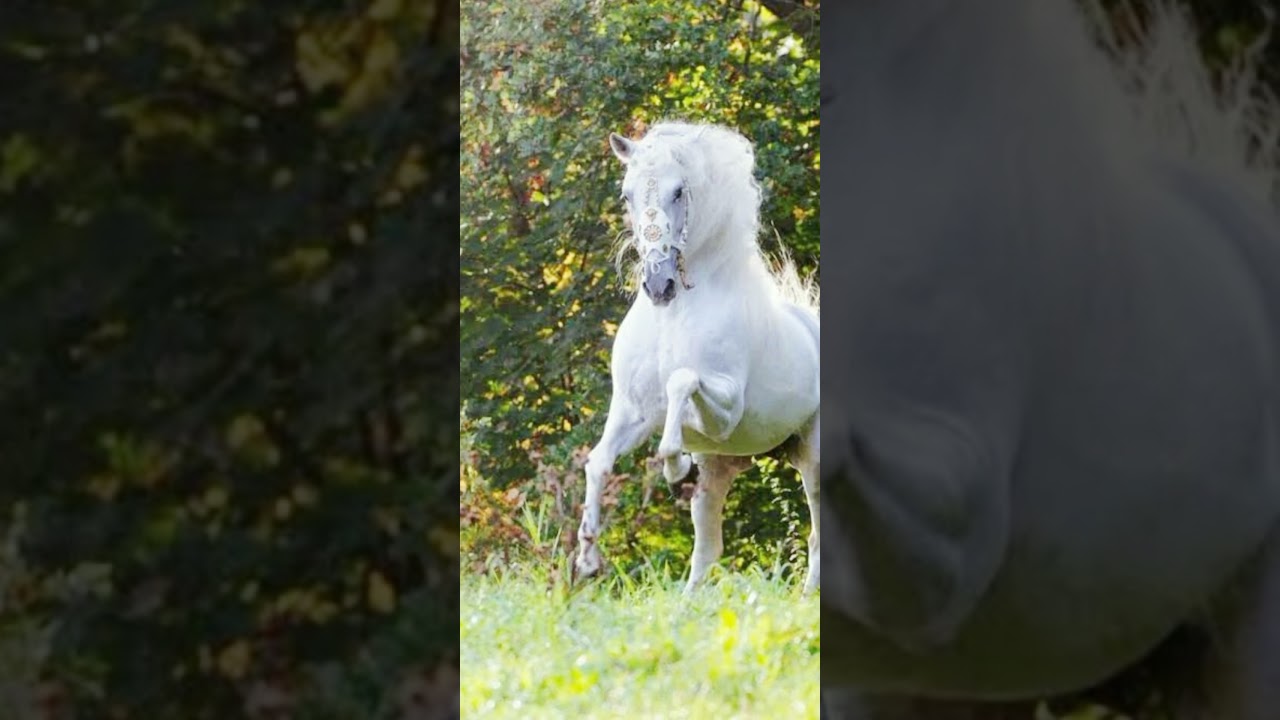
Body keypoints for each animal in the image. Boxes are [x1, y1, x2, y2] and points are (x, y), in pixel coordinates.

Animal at [572, 121, 821, 595]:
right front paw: (587, 558)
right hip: (721, 468)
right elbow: (598, 462)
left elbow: (681, 383)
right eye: (627, 195)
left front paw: (677, 470)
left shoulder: (726, 408)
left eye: (678, 191)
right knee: (708, 547)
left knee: (818, 528)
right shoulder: (634, 411)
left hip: (813, 456)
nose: (658, 286)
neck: (674, 313)